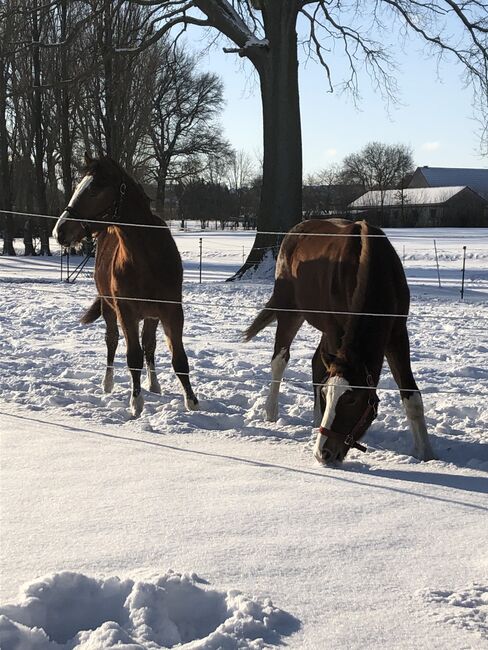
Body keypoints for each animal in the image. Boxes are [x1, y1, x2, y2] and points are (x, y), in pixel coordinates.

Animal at [53, 153, 198, 416]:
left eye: (95, 189)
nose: (60, 231)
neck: (148, 259)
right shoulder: (126, 311)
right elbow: (133, 357)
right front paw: (136, 403)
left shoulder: (172, 310)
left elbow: (178, 358)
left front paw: (191, 401)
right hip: (110, 309)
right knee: (111, 342)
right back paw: (108, 383)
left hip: (151, 315)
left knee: (149, 345)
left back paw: (154, 384)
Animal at [244, 220, 434, 464]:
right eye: (328, 395)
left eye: (352, 400)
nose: (323, 453)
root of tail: (294, 231)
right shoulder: (337, 330)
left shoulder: (397, 335)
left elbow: (412, 397)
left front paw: (426, 453)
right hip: (291, 311)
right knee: (280, 359)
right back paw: (271, 412)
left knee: (316, 362)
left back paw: (315, 421)